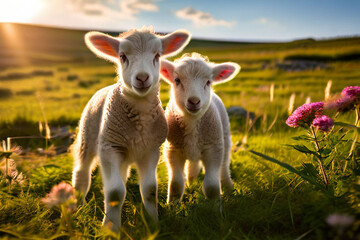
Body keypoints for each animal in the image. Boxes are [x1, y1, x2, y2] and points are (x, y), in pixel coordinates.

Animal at [71, 26, 191, 231]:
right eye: (122, 56)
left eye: (157, 55)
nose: (142, 77)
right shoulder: (109, 147)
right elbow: (114, 192)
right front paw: (110, 228)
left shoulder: (151, 150)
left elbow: (149, 189)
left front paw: (153, 222)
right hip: (87, 137)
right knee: (81, 173)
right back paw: (78, 207)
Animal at [160, 53, 239, 202]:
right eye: (177, 80)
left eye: (208, 82)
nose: (194, 101)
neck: (192, 120)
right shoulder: (173, 149)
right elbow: (176, 183)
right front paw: (172, 204)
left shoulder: (213, 149)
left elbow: (211, 185)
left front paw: (214, 206)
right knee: (193, 166)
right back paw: (191, 183)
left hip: (225, 139)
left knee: (224, 167)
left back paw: (228, 187)